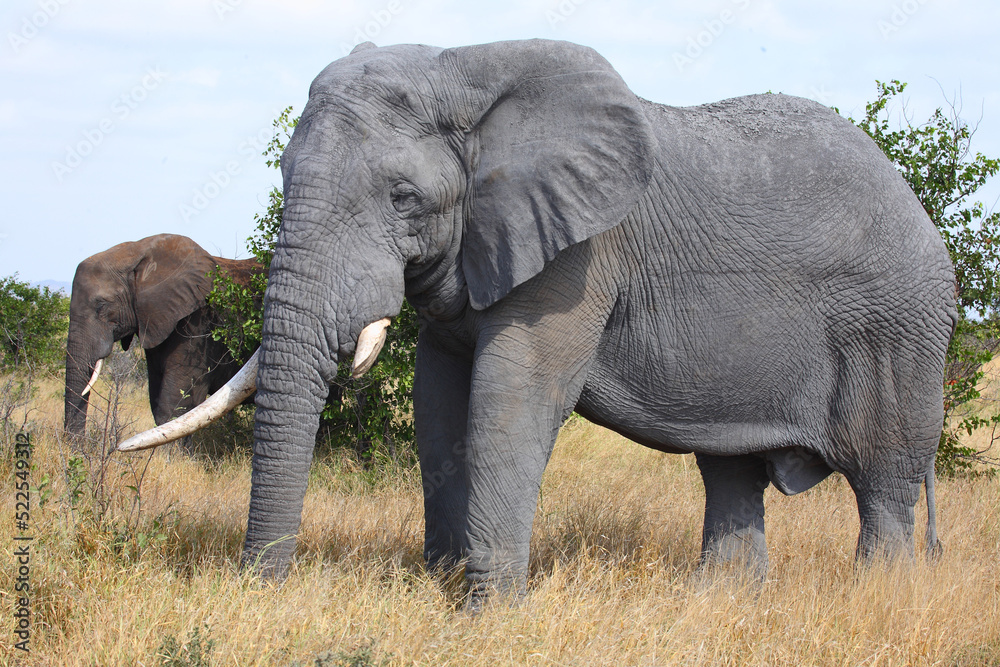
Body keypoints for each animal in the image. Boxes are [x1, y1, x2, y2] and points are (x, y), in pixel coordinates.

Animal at [65, 234, 262, 440]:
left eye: (101, 306)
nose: (78, 445)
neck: (136, 254)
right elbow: (157, 399)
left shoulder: (197, 325)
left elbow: (178, 403)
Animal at [120, 40, 957, 604]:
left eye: (402, 198)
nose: (257, 589)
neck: (463, 71)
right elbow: (438, 403)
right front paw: (443, 584)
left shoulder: (580, 256)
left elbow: (512, 399)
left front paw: (484, 614)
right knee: (731, 469)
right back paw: (719, 602)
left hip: (899, 330)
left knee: (883, 481)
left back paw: (876, 600)